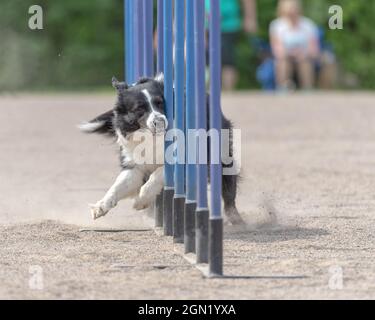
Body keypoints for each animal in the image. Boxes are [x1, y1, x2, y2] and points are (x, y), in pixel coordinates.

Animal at [79, 74, 244, 224]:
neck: (152, 138)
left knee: (227, 182)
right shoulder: (135, 164)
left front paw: (140, 201)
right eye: (139, 108)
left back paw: (235, 218)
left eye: (160, 103)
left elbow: (157, 175)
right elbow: (119, 185)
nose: (159, 121)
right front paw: (100, 207)